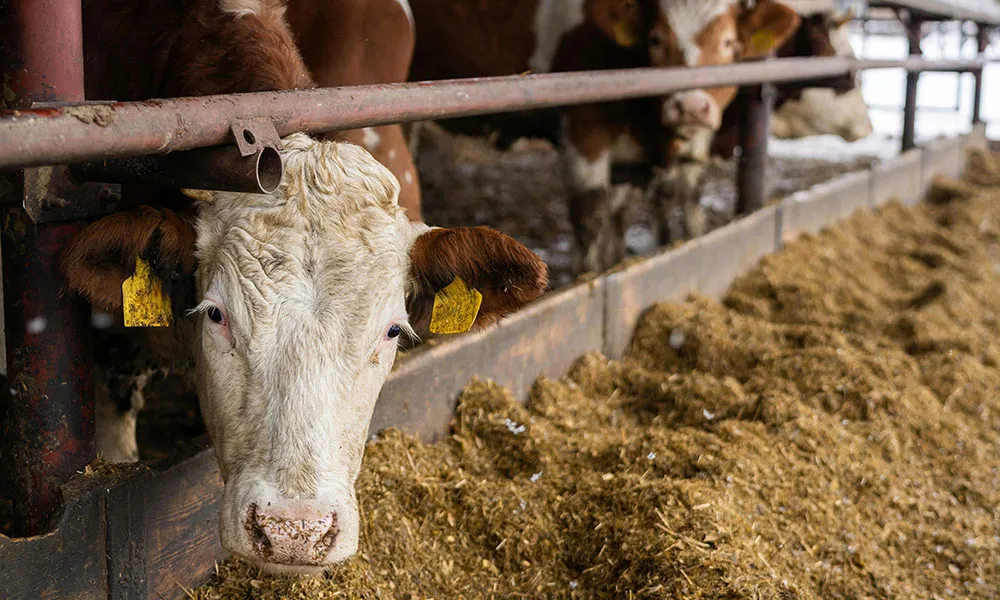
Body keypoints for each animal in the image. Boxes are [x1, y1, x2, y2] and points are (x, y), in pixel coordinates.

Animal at [409, 0, 802, 273]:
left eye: (729, 42)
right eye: (655, 39)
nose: (690, 107)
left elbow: (625, 211)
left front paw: (618, 259)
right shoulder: (585, 128)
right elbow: (591, 213)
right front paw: (588, 274)